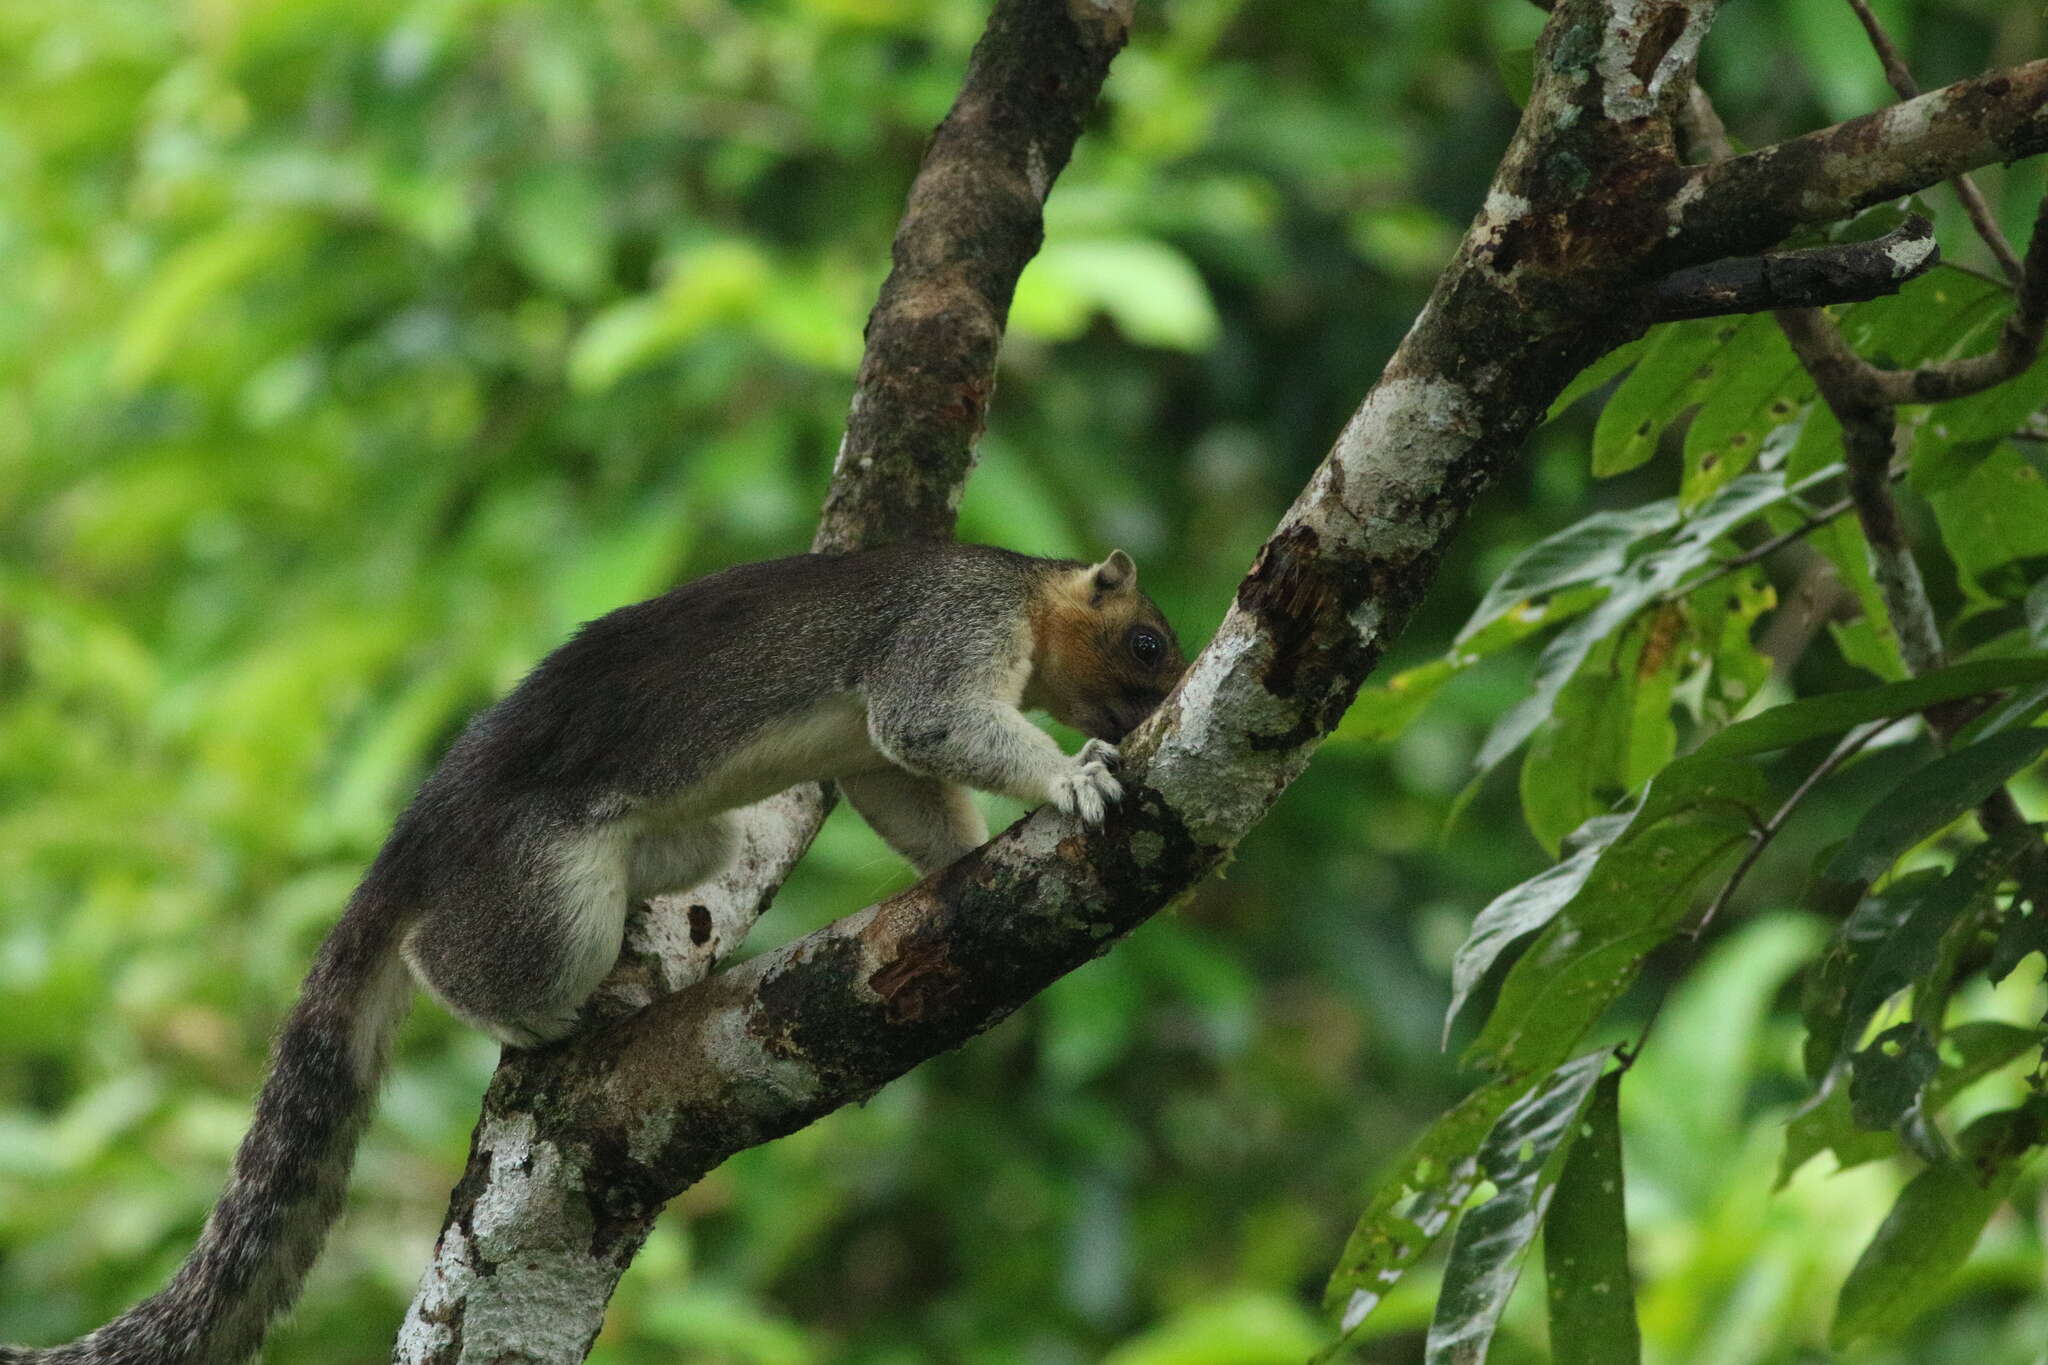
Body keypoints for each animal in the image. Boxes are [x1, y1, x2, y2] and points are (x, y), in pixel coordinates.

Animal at [4, 540, 1187, 1358]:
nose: (1159, 703)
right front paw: (1070, 776)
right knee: (456, 958)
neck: (1025, 597)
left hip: (687, 839)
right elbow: (932, 724)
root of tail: (421, 835)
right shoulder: (945, 631)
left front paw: (966, 852)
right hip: (537, 886)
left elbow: (902, 785)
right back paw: (540, 1007)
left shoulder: (879, 750)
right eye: (1146, 641)